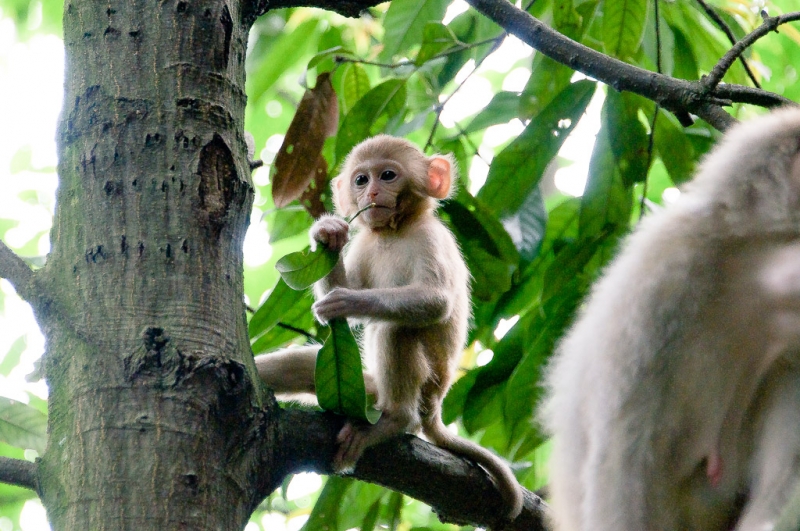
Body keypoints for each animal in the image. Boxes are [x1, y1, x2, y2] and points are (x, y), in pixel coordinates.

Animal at [253, 136, 524, 520]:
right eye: (361, 180)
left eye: (388, 175)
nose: (372, 193)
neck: (395, 230)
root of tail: (436, 405)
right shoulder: (365, 243)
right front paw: (326, 233)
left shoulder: (431, 237)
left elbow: (435, 302)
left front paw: (347, 302)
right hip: (367, 390)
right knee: (303, 365)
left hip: (427, 383)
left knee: (396, 330)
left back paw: (396, 420)